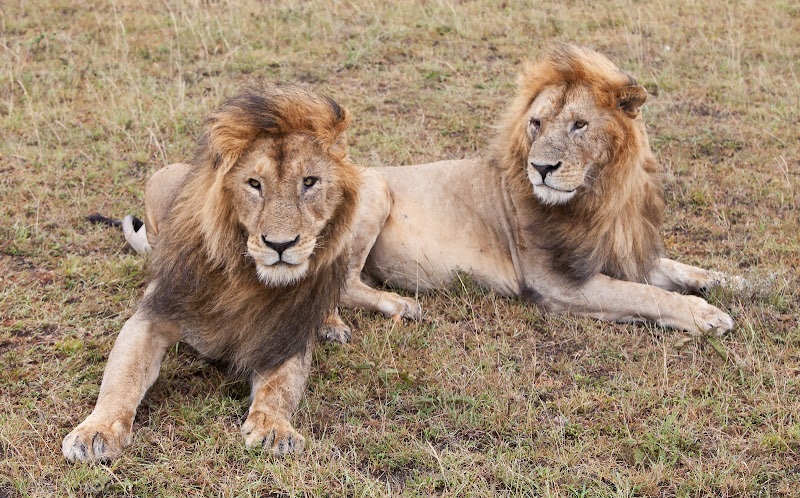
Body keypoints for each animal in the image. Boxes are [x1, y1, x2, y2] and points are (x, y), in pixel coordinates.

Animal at [62, 83, 360, 462]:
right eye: (254, 184)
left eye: (310, 182)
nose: (280, 244)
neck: (247, 279)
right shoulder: (155, 312)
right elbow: (122, 379)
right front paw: (95, 431)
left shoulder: (286, 334)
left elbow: (280, 388)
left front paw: (274, 429)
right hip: (160, 180)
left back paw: (331, 323)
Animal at [340, 44, 736, 336]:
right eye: (536, 123)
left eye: (579, 125)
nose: (542, 168)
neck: (601, 197)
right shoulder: (555, 283)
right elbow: (644, 293)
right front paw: (706, 314)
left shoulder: (620, 250)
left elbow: (671, 268)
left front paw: (725, 279)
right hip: (376, 184)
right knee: (344, 288)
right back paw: (400, 305)